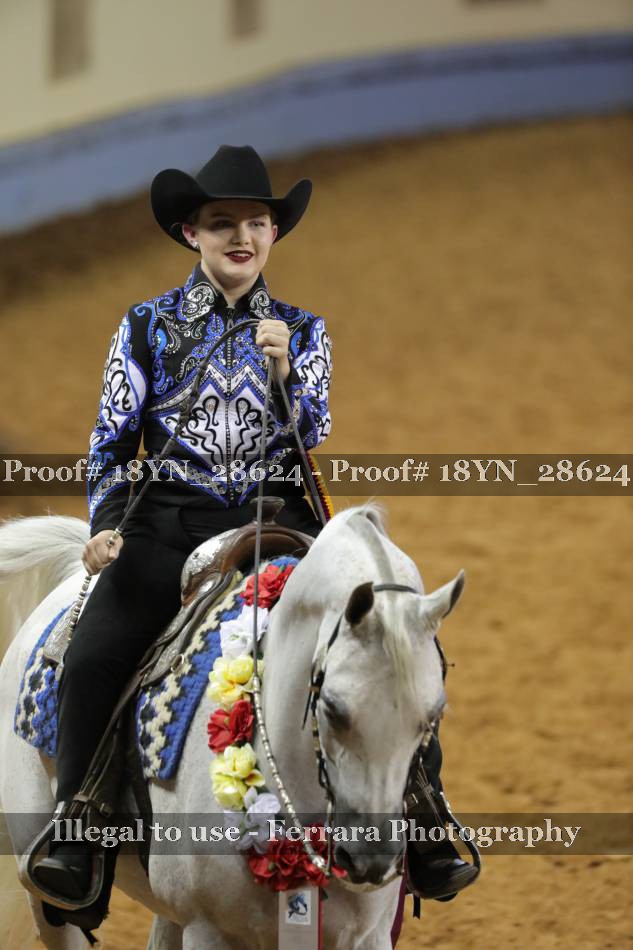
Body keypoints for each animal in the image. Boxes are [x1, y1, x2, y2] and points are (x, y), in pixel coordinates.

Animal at [0, 503, 464, 949]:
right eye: (332, 708)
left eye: (433, 717)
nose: (371, 858)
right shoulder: (208, 931)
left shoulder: (368, 935)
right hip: (45, 893)